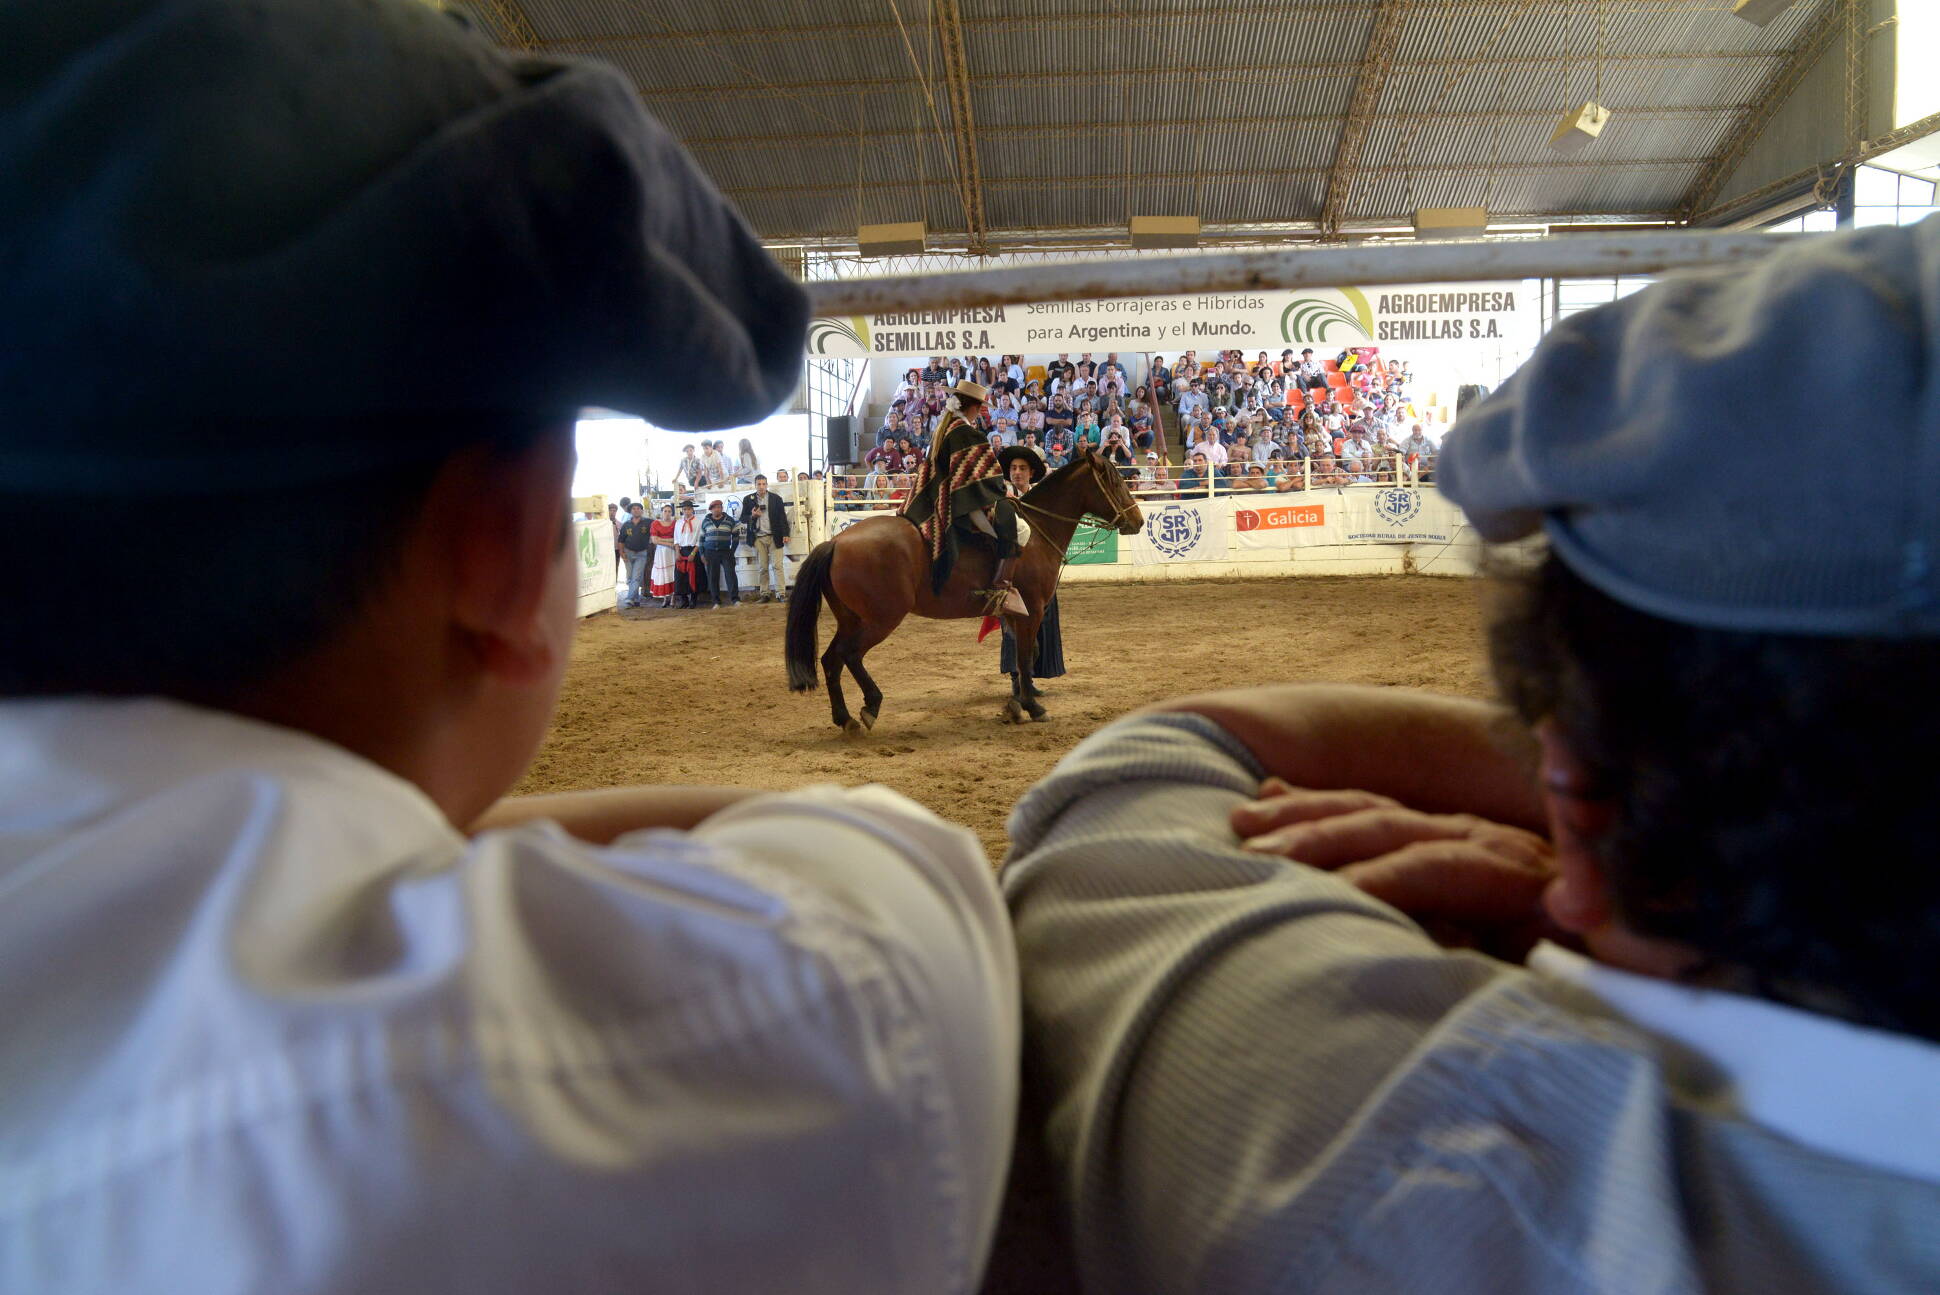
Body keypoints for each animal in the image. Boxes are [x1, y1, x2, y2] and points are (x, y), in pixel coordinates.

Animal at [783, 442, 1140, 728]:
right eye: (1114, 481)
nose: (1137, 520)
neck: (1036, 532)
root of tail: (836, 542)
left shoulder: (1015, 614)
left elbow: (1023, 656)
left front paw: (1015, 703)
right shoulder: (1033, 610)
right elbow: (1026, 657)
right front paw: (1032, 706)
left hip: (851, 619)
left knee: (831, 660)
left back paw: (844, 718)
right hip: (880, 619)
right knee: (850, 656)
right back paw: (871, 704)